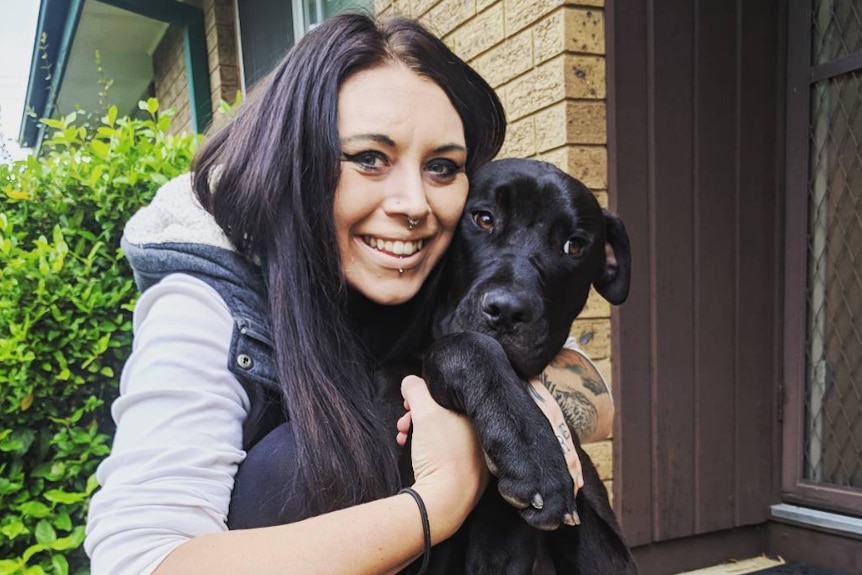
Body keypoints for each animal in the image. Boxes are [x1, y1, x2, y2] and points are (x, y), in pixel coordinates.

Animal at [416, 159, 636, 575]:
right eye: (484, 219)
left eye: (574, 245)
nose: (506, 311)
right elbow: (469, 344)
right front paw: (531, 454)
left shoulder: (616, 558)